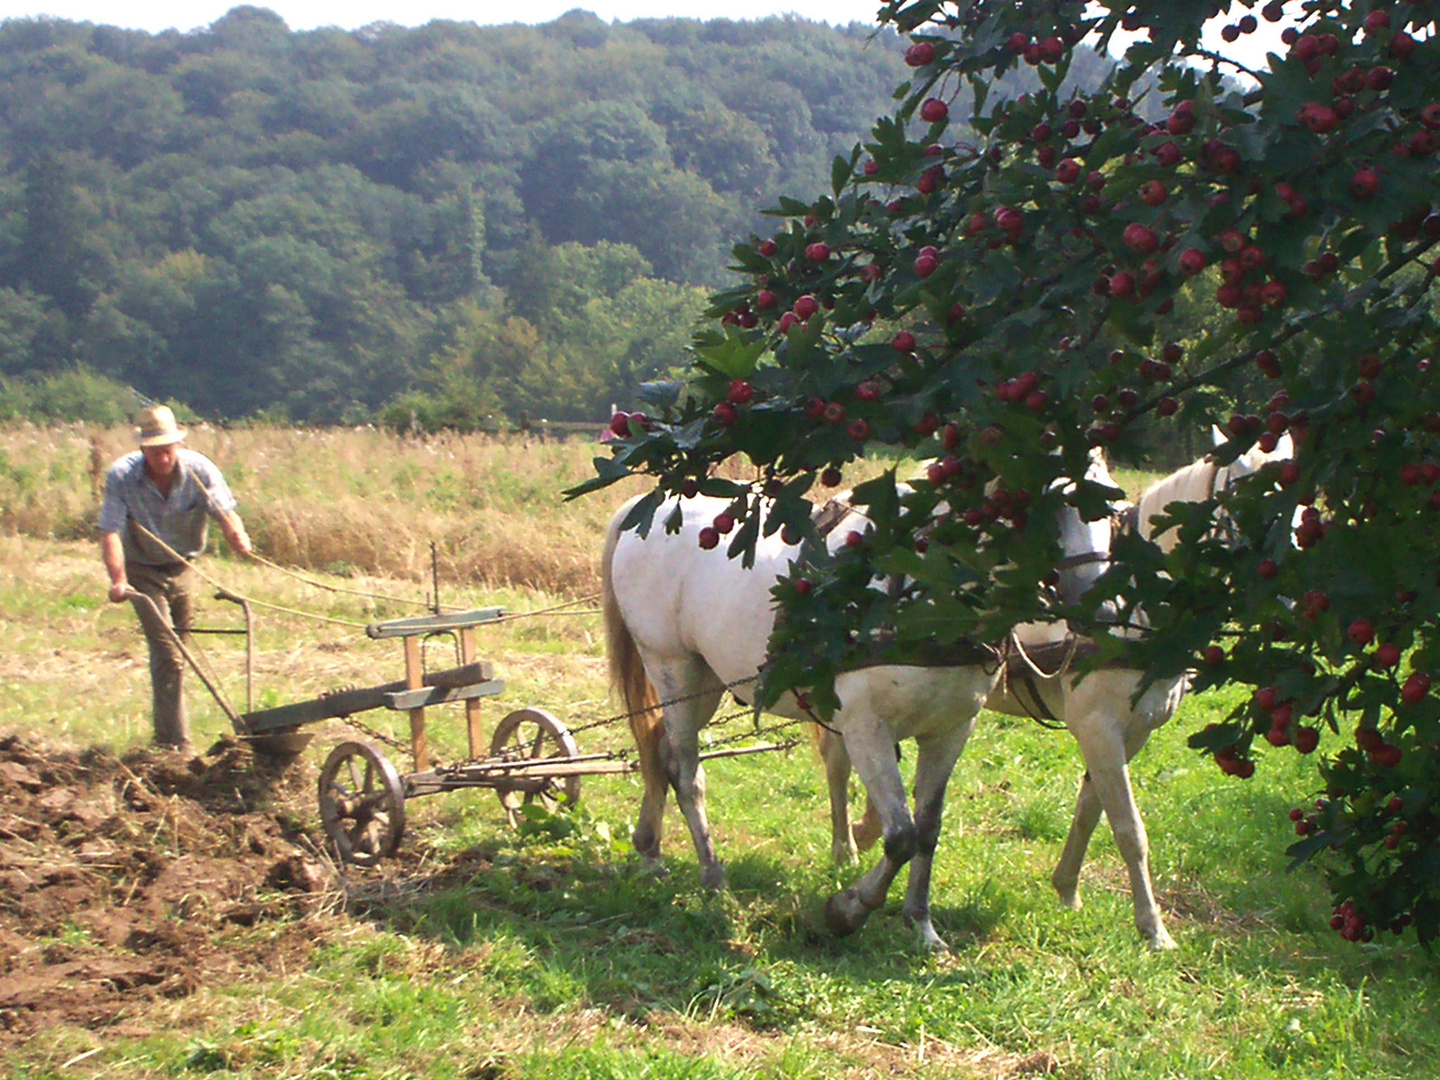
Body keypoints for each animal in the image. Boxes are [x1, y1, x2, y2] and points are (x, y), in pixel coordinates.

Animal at [599, 460, 1111, 950]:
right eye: (1047, 502)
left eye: (1112, 506)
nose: (1101, 609)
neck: (924, 596)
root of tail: (643, 512)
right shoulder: (867, 729)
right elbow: (900, 835)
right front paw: (847, 910)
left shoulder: (950, 731)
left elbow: (927, 831)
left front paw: (921, 925)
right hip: (672, 667)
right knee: (687, 774)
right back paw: (713, 877)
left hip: (706, 681)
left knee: (661, 754)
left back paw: (650, 850)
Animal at [817, 434, 1301, 950]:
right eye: (1248, 500)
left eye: (1301, 504)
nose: (1290, 595)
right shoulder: (1098, 726)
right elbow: (1128, 828)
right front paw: (1153, 929)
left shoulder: (1133, 732)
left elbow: (1092, 810)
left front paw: (1067, 889)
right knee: (839, 762)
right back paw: (849, 847)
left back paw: (858, 835)